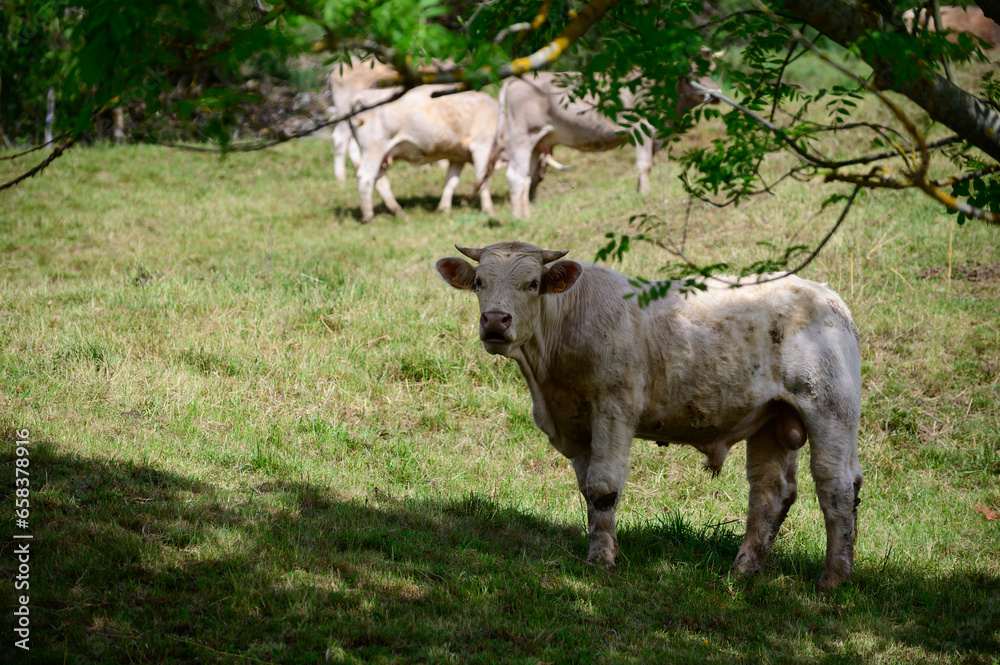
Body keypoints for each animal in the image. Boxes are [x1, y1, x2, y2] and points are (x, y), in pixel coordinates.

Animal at [352, 85, 499, 223]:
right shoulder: (482, 147)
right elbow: (483, 179)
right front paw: (489, 210)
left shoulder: (457, 157)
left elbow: (451, 181)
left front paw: (444, 209)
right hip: (373, 148)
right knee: (365, 176)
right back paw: (368, 216)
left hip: (383, 155)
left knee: (380, 179)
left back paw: (399, 212)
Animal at [436, 241, 863, 590]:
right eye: (479, 283)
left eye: (532, 284)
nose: (495, 320)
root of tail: (828, 296)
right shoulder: (574, 425)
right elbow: (588, 490)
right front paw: (599, 549)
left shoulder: (613, 408)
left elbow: (603, 486)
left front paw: (601, 561)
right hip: (772, 421)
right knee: (770, 492)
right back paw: (743, 570)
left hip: (831, 411)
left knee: (837, 488)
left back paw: (834, 578)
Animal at [498, 61, 721, 220]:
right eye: (692, 76)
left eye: (712, 71)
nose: (717, 94)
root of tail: (519, 80)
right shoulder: (641, 128)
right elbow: (644, 165)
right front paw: (645, 194)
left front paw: (639, 191)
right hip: (522, 136)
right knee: (515, 176)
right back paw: (519, 219)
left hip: (537, 143)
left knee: (528, 176)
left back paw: (526, 213)